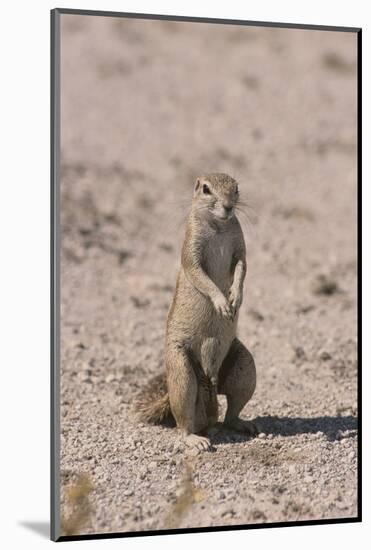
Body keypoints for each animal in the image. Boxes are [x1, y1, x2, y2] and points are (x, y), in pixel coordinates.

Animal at [136, 174, 256, 452]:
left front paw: (236, 297)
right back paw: (196, 439)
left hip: (245, 368)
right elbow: (200, 275)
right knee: (183, 422)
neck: (219, 226)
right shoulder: (191, 248)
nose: (228, 207)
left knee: (230, 412)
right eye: (206, 189)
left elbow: (243, 267)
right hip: (181, 374)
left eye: (236, 188)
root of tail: (209, 382)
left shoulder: (240, 247)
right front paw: (222, 302)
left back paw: (240, 424)